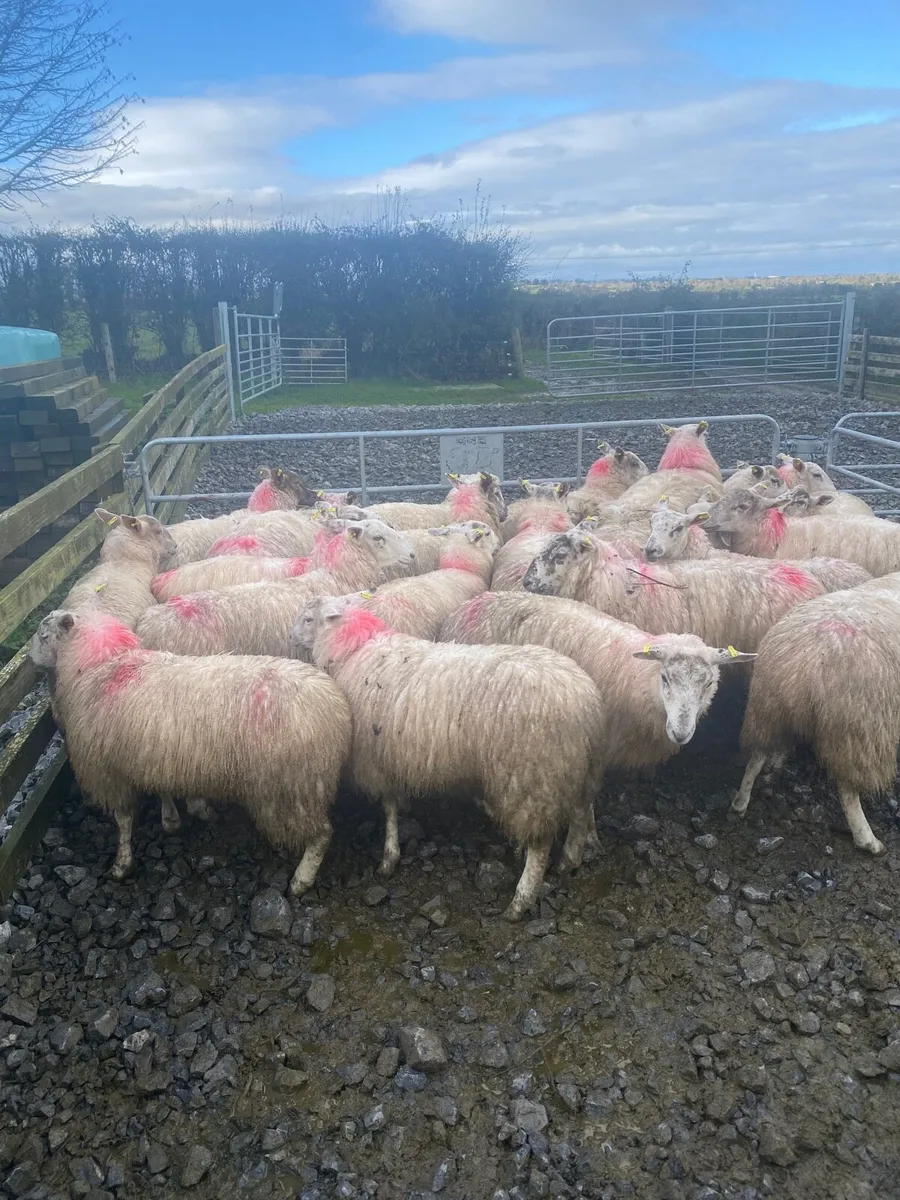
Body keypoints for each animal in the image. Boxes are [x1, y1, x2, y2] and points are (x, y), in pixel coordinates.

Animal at [29, 610, 350, 890]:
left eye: (44, 635)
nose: (30, 660)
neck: (100, 666)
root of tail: (335, 709)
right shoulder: (154, 754)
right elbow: (163, 790)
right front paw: (175, 817)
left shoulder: (107, 771)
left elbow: (123, 821)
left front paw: (121, 864)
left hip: (291, 788)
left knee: (322, 835)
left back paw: (301, 880)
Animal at [293, 593, 607, 920]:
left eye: (308, 619)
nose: (291, 637)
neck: (356, 648)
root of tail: (584, 699)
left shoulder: (378, 759)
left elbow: (389, 808)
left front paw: (389, 858)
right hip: (577, 767)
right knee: (581, 812)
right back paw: (570, 859)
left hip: (533, 777)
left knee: (540, 845)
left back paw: (520, 901)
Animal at [439, 591, 755, 766]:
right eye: (664, 677)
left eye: (708, 684)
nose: (681, 733)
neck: (638, 675)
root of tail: (467, 605)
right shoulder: (600, 741)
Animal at [733, 573, 900, 857]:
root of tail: (805, 662)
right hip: (859, 730)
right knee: (848, 791)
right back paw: (868, 840)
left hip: (767, 709)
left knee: (756, 756)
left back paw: (741, 801)